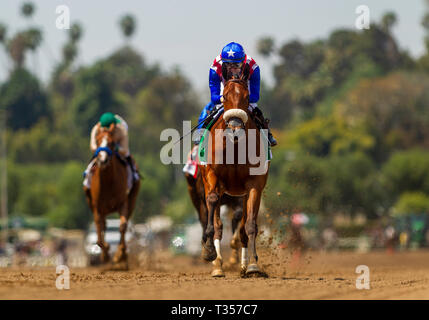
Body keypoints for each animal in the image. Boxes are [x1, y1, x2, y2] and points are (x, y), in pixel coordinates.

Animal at [82, 124, 139, 268]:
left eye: (112, 143)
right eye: (97, 141)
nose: (103, 159)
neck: (108, 183)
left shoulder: (123, 202)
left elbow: (123, 226)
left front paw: (120, 255)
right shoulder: (96, 206)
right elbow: (98, 225)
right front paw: (105, 253)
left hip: (132, 199)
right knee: (103, 225)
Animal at [199, 78, 270, 278]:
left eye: (246, 97)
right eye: (225, 96)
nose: (235, 129)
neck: (235, 147)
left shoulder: (254, 185)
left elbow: (250, 224)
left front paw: (253, 264)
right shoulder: (213, 176)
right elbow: (213, 209)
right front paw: (209, 251)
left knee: (243, 225)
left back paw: (243, 265)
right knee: (218, 223)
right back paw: (217, 265)